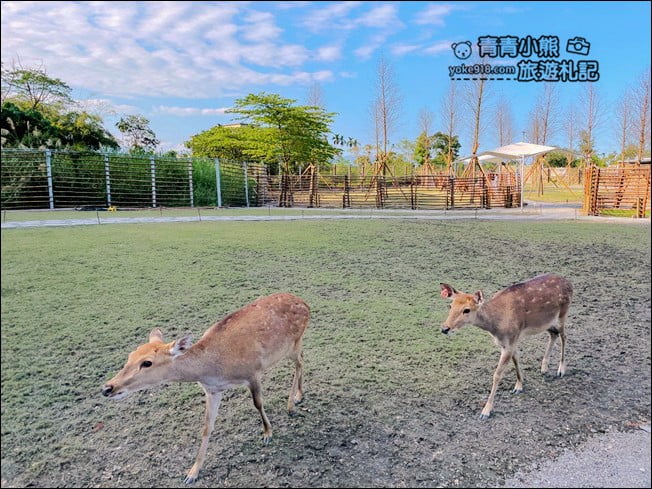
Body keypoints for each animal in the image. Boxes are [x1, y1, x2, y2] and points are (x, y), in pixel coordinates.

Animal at [101, 293, 310, 484]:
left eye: (147, 362)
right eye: (130, 355)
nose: (107, 388)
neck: (214, 369)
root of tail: (305, 303)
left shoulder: (252, 372)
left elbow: (258, 403)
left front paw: (267, 433)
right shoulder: (212, 390)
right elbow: (207, 426)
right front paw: (192, 473)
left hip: (292, 342)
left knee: (299, 362)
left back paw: (292, 403)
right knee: (302, 359)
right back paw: (298, 396)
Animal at [439, 273, 572, 420]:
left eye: (466, 310)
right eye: (450, 305)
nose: (445, 328)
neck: (496, 327)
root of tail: (569, 283)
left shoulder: (509, 342)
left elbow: (497, 374)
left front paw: (486, 411)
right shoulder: (510, 341)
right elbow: (516, 360)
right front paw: (519, 386)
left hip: (563, 314)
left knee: (564, 336)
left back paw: (561, 370)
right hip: (547, 322)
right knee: (553, 334)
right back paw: (544, 368)